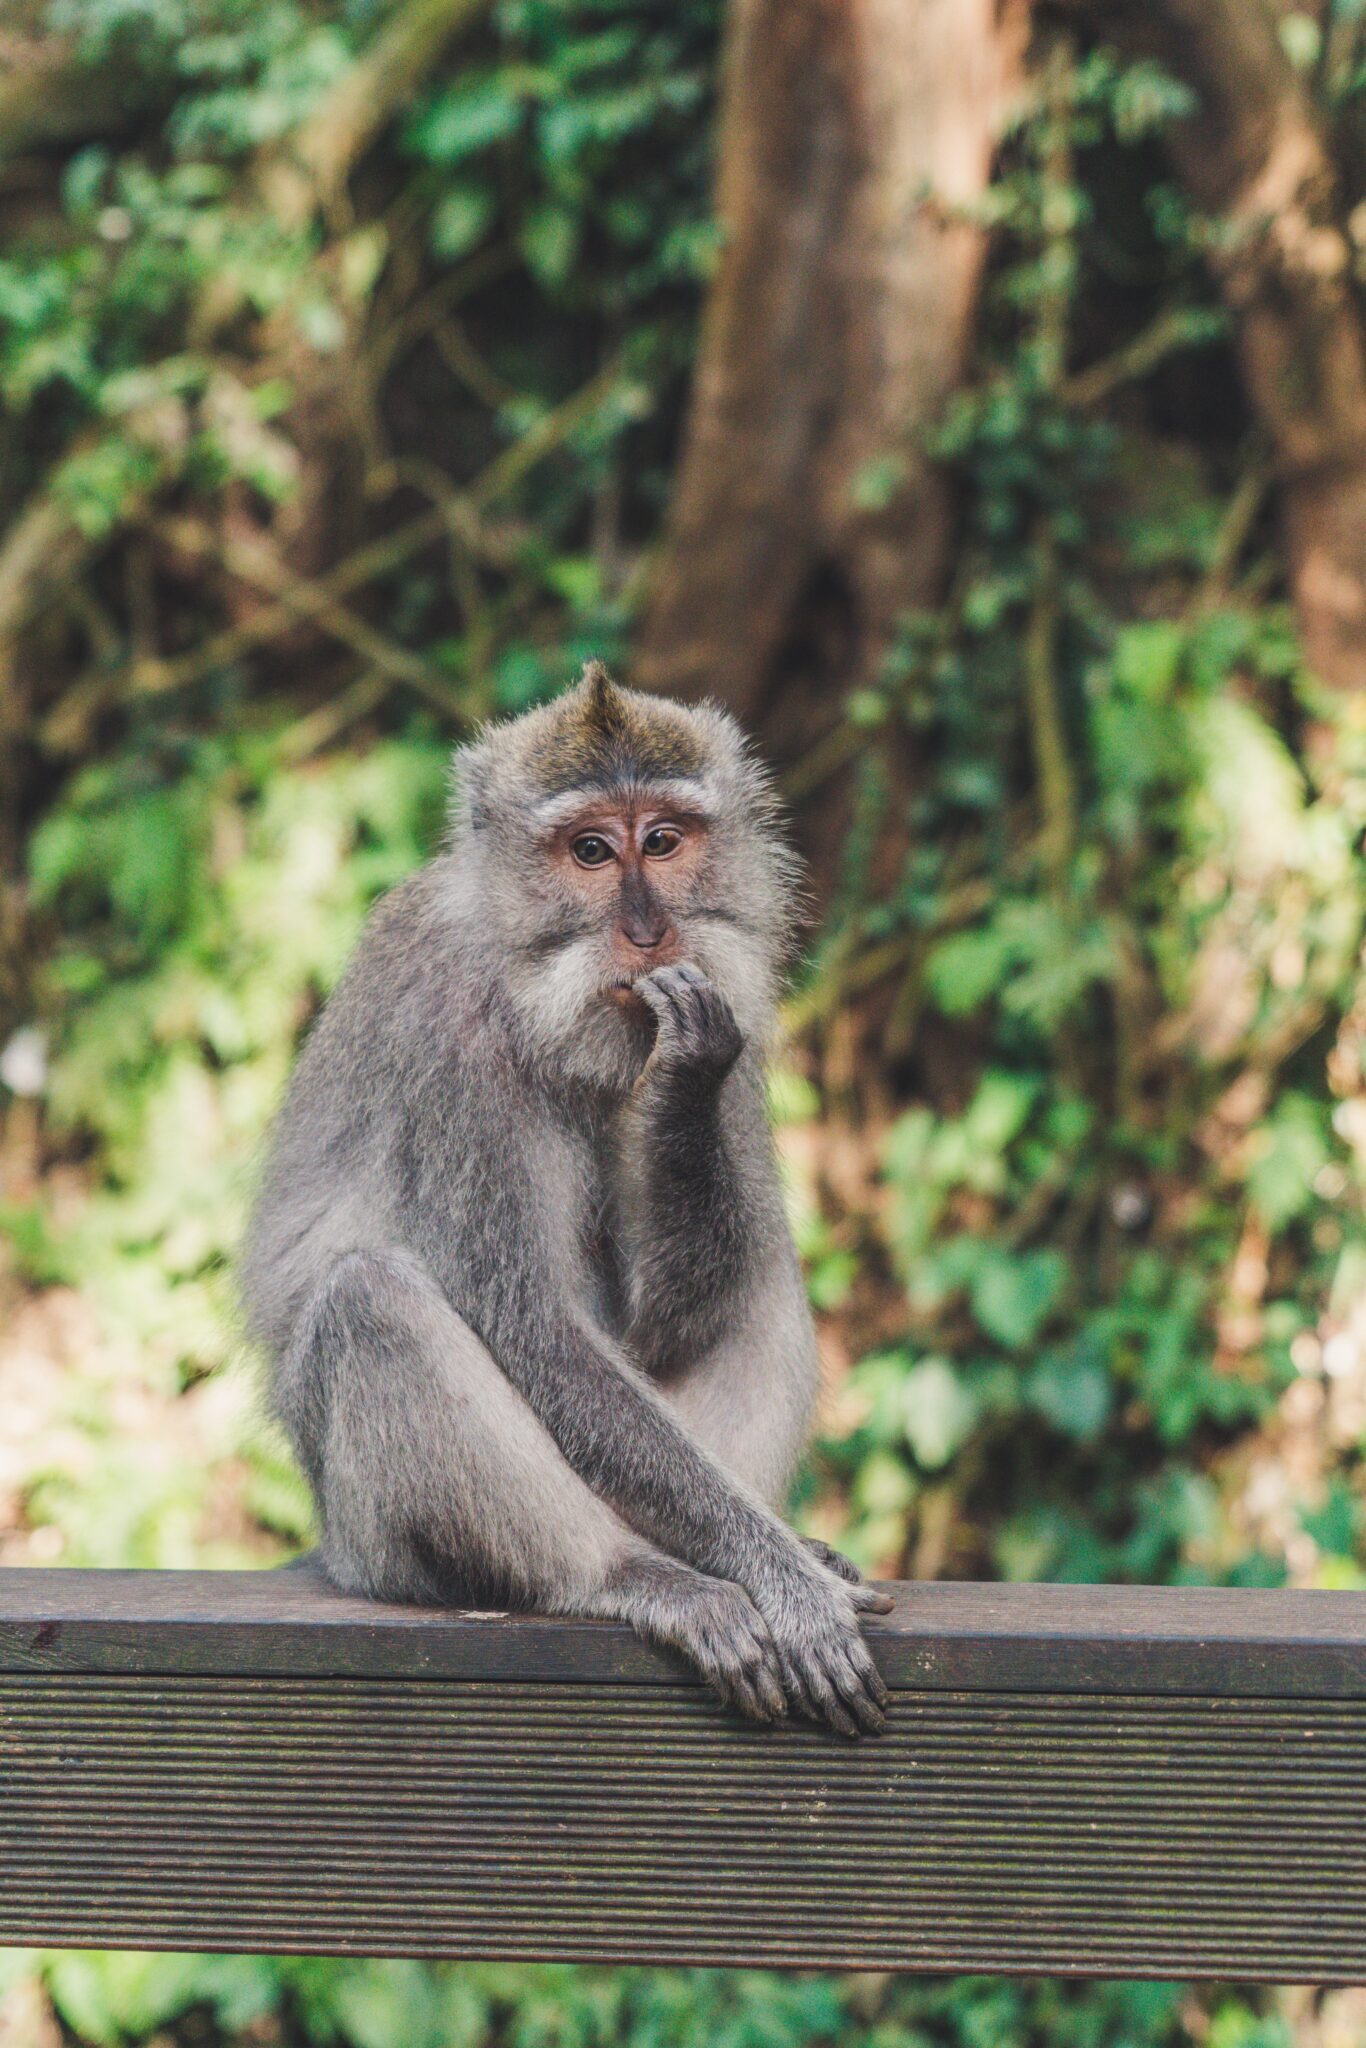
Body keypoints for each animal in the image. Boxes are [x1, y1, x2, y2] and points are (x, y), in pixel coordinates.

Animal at [240, 659, 892, 1728]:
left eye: (662, 841)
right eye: (590, 850)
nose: (648, 931)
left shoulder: (736, 1007)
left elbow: (661, 1320)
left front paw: (683, 1076)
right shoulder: (452, 1039)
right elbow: (537, 1328)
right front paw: (781, 1582)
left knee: (760, 1274)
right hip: (377, 1546)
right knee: (370, 1302)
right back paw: (635, 1574)